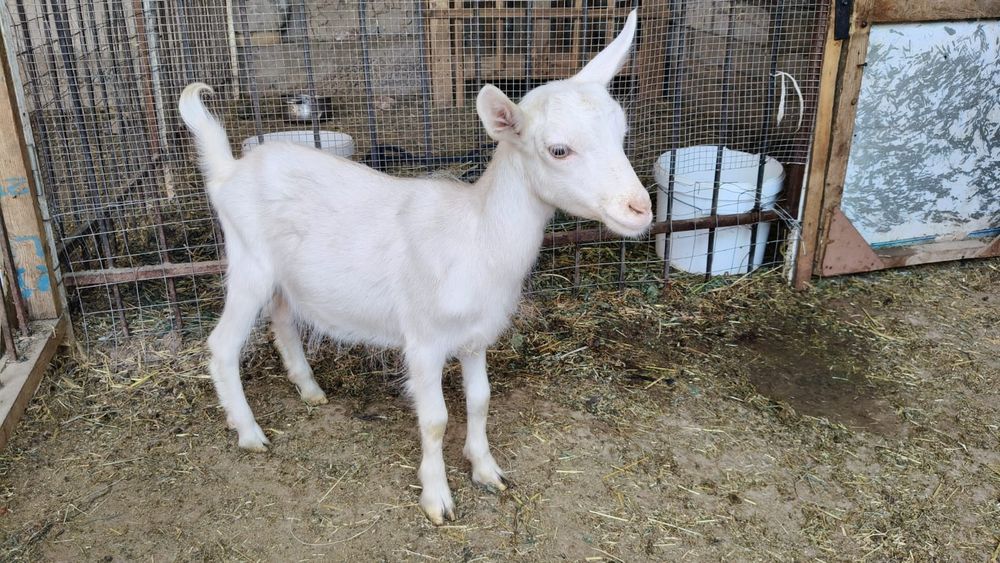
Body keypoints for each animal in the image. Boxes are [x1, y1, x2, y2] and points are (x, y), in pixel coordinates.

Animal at [178, 10, 650, 525]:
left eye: (623, 134)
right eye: (558, 150)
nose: (640, 209)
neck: (476, 235)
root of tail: (227, 172)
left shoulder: (476, 335)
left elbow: (481, 401)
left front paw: (487, 470)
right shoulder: (423, 339)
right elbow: (436, 420)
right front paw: (437, 498)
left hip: (285, 276)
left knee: (283, 319)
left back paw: (309, 389)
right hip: (248, 263)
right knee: (222, 344)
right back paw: (249, 433)